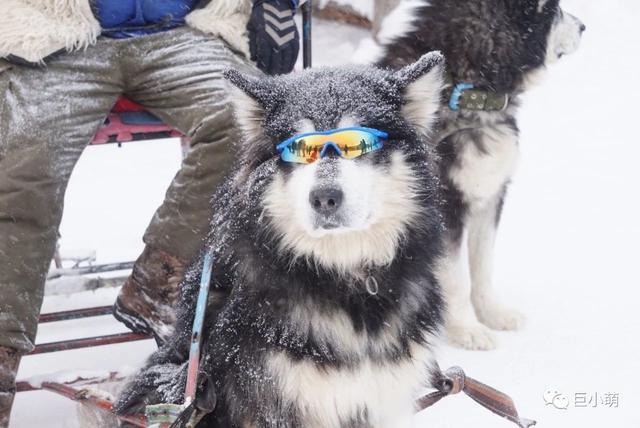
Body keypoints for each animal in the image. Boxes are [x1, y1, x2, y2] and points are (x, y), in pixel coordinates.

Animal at [378, 0, 588, 352]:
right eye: (554, 10)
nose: (584, 27)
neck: (466, 90)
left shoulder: (490, 195)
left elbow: (482, 266)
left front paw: (492, 313)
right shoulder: (446, 205)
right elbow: (458, 276)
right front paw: (467, 328)